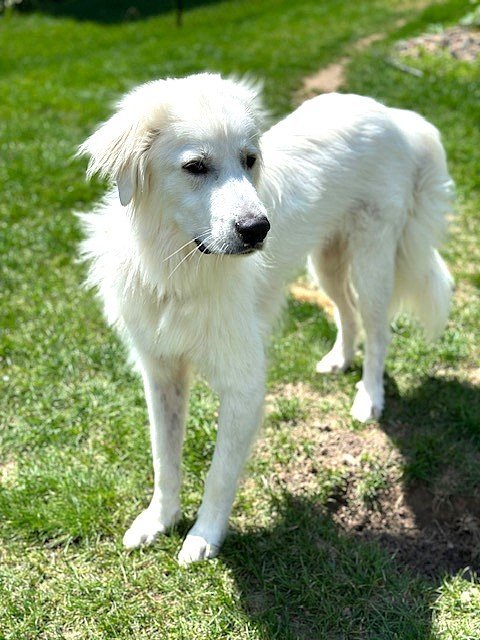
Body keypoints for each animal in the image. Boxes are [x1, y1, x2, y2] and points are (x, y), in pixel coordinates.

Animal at [79, 74, 454, 564]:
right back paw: (338, 360)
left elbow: (219, 473)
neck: (176, 267)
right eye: (195, 166)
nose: (258, 229)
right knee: (346, 312)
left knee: (378, 332)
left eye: (249, 160)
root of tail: (394, 115)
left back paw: (369, 398)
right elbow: (165, 457)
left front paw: (202, 537)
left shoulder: (244, 385)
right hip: (326, 262)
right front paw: (158, 521)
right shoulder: (160, 373)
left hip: (371, 260)